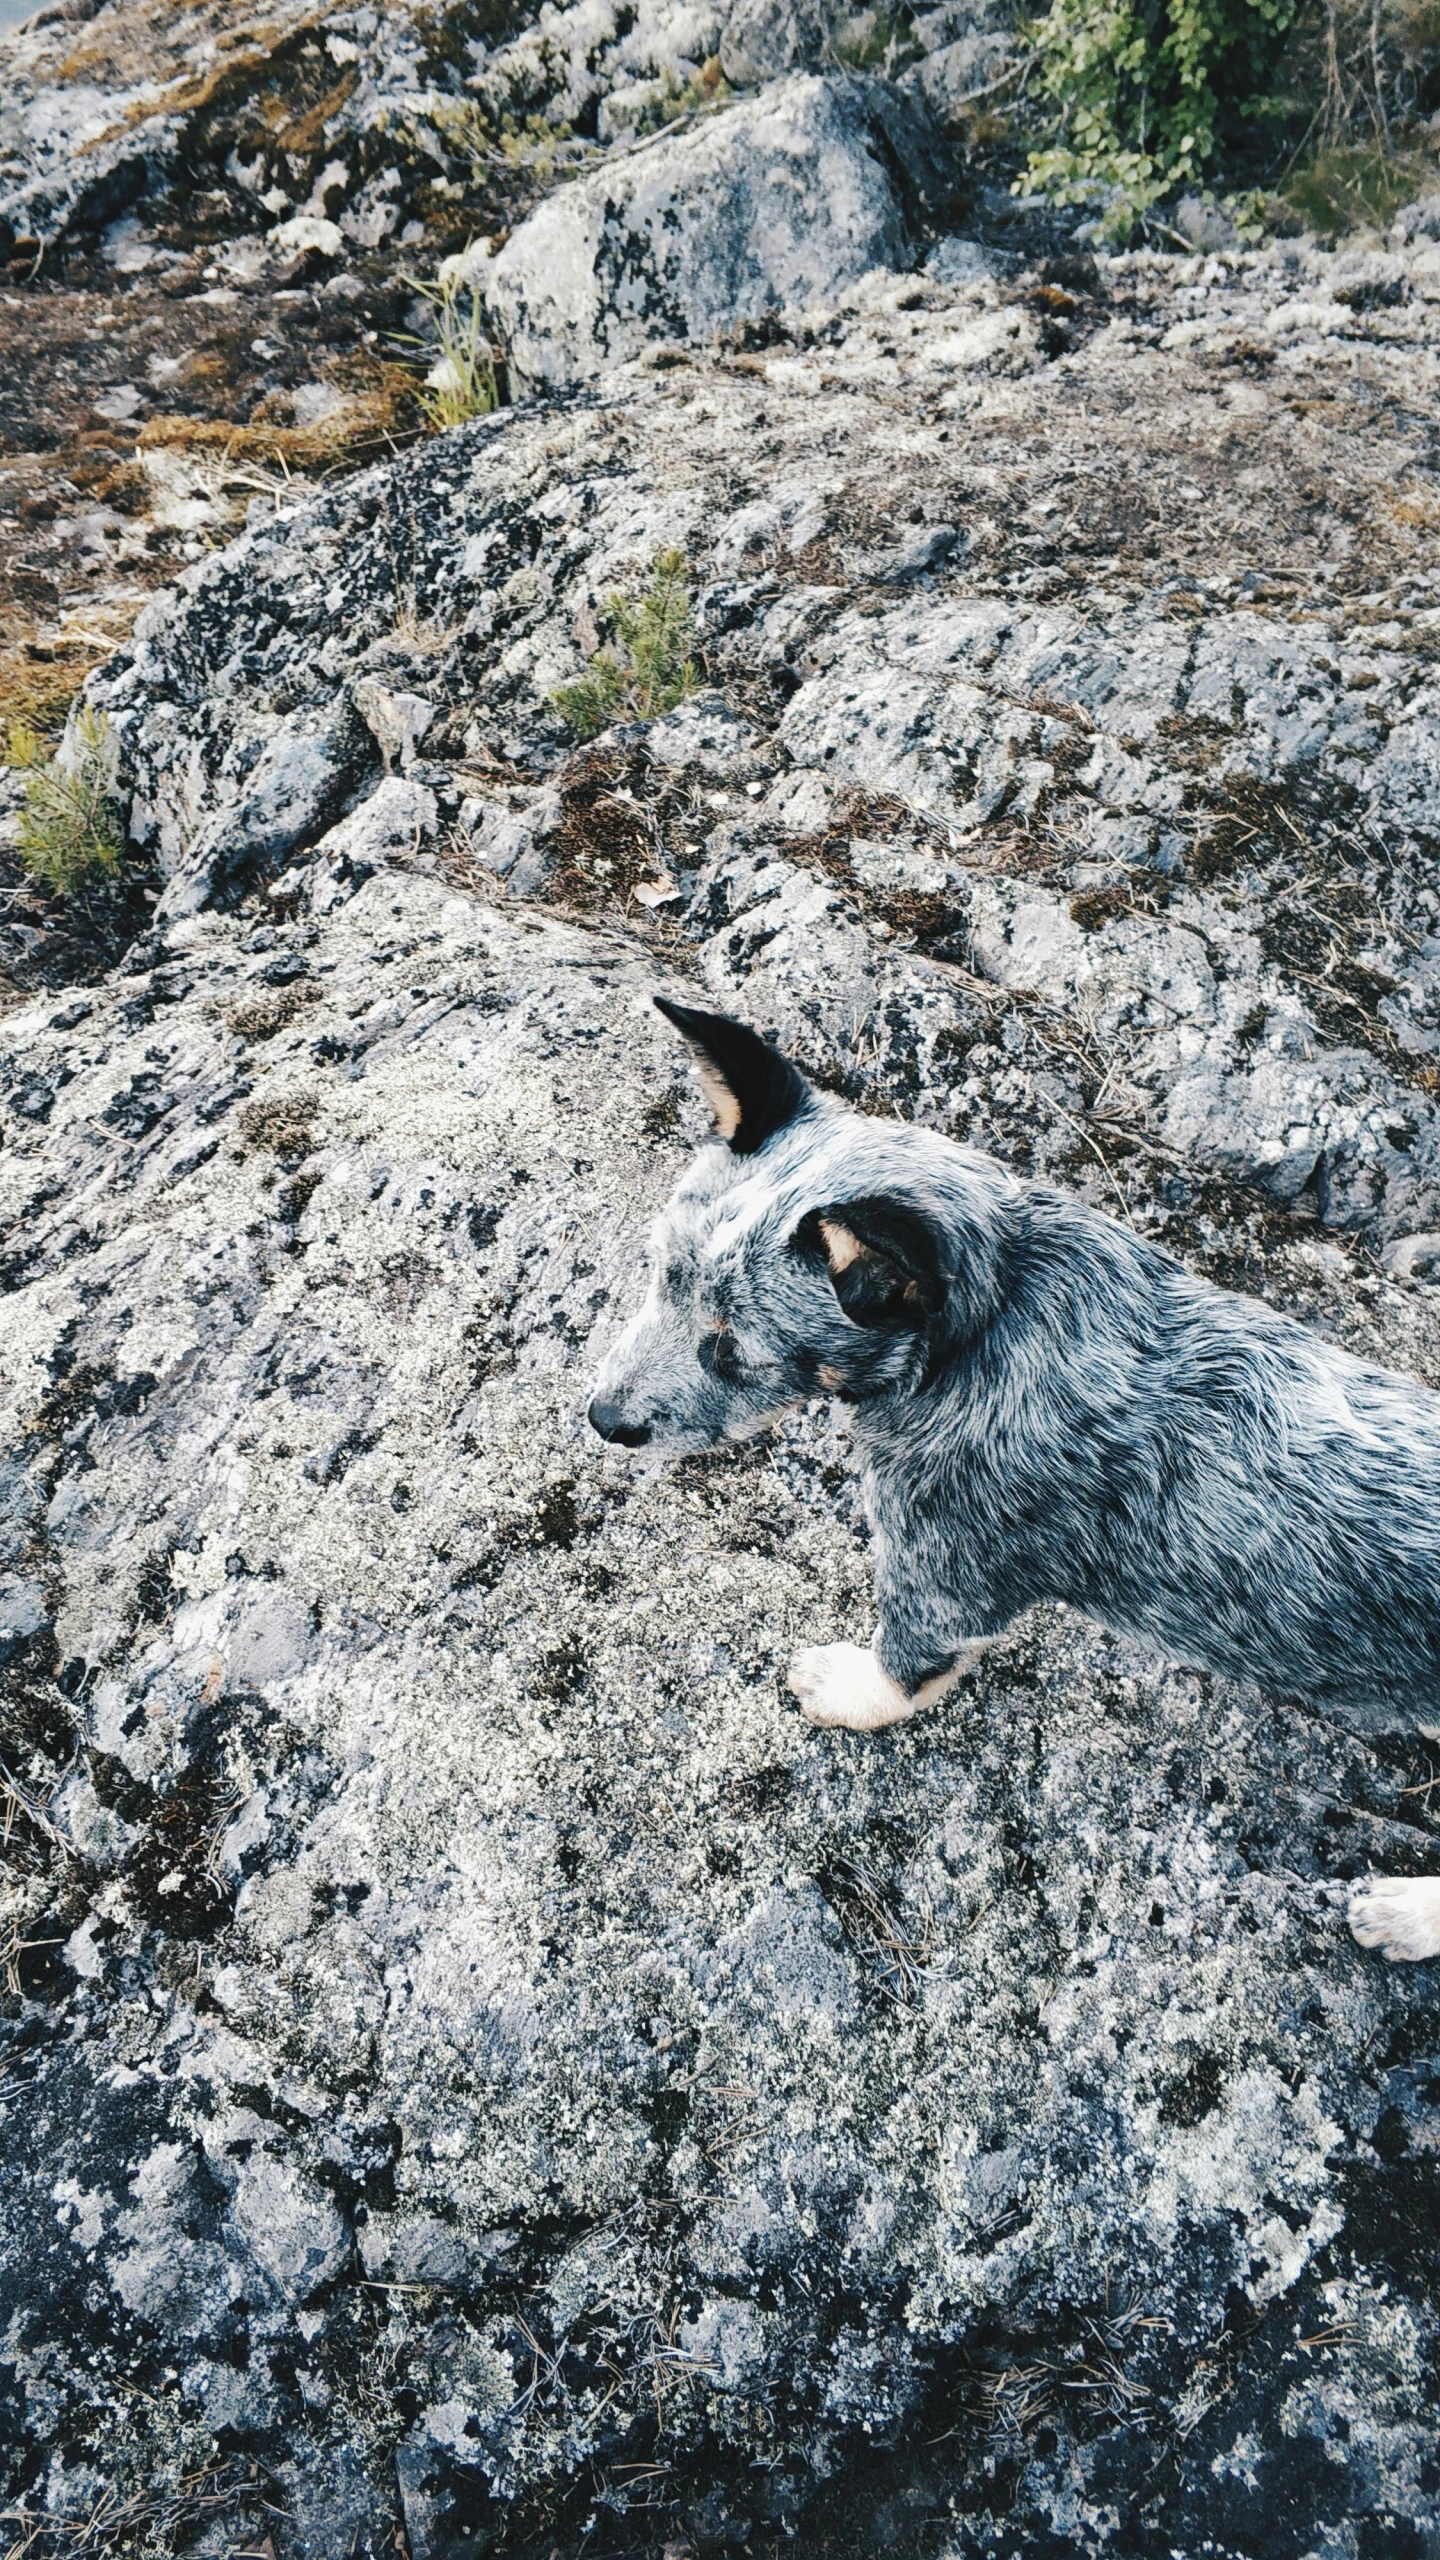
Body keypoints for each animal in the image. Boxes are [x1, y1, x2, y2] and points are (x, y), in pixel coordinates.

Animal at [586, 993, 1434, 1955]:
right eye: (663, 1272)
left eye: (735, 1350)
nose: (603, 1419)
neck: (991, 1320)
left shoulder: (946, 1569)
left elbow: (903, 1669)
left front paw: (842, 1688)